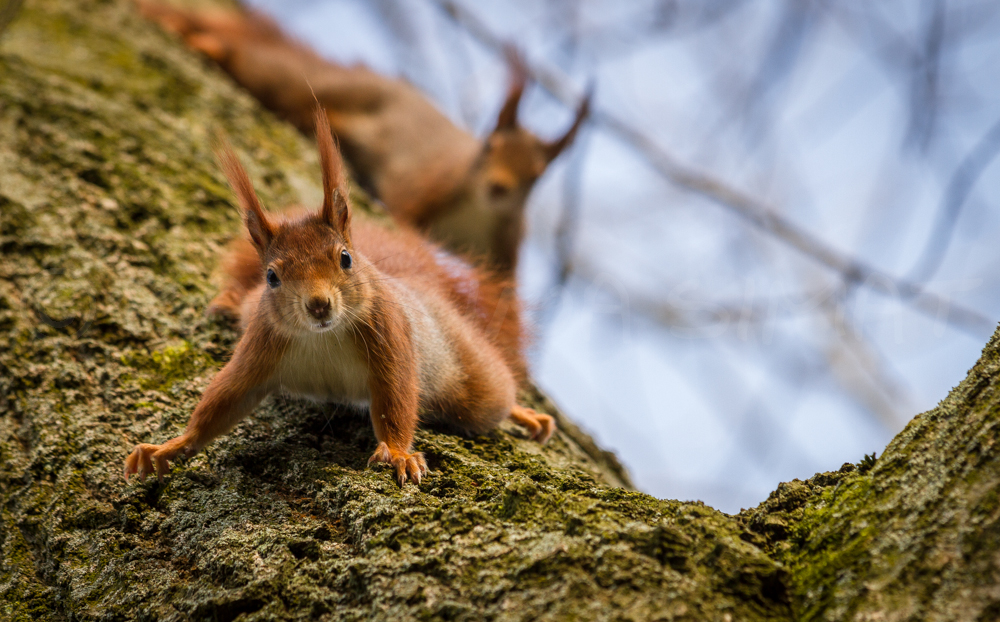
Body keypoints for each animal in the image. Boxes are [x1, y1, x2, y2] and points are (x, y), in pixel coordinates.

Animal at [125, 107, 556, 488]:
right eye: (272, 277)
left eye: (345, 258)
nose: (318, 305)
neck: (322, 337)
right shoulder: (261, 344)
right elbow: (224, 400)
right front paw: (170, 447)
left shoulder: (389, 334)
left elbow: (397, 399)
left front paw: (398, 453)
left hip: (468, 373)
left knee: (494, 394)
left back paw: (523, 413)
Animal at [133, 1, 584, 276]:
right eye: (489, 148)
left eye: (537, 176)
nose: (498, 187)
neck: (478, 210)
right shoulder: (428, 184)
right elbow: (404, 219)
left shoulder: (505, 241)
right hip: (310, 87)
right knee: (257, 63)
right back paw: (200, 38)